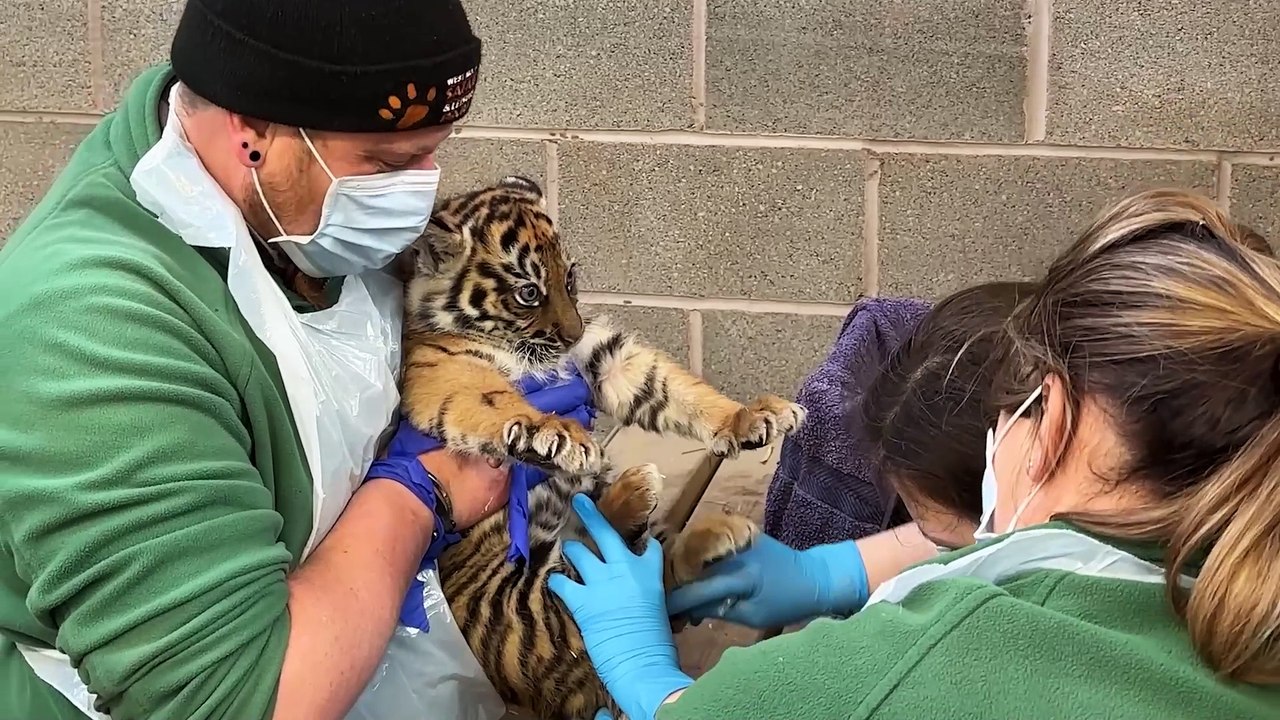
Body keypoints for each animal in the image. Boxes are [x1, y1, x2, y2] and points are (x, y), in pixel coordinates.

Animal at [398, 175, 807, 720]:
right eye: (529, 292)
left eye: (570, 280)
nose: (571, 334)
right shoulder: (443, 371)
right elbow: (494, 397)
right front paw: (557, 434)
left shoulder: (605, 358)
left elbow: (672, 387)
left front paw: (748, 417)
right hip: (513, 609)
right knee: (585, 595)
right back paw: (644, 496)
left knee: (647, 573)